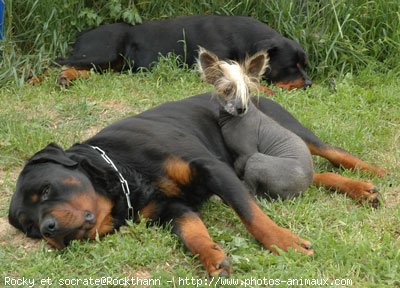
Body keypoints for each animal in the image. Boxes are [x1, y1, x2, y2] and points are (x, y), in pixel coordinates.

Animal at [7, 91, 382, 276]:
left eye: (46, 189)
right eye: (29, 228)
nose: (49, 229)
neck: (122, 171)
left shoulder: (212, 168)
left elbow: (252, 216)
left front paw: (284, 243)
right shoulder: (171, 209)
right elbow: (191, 232)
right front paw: (212, 257)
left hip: (287, 126)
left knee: (330, 151)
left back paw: (372, 175)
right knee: (309, 173)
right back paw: (359, 189)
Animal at [29, 15, 312, 93]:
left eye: (305, 65)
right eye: (291, 66)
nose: (309, 83)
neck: (241, 40)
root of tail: (81, 36)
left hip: (111, 65)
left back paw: (66, 79)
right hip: (102, 52)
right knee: (54, 62)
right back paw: (36, 79)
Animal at [197, 47, 312, 200]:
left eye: (248, 91)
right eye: (227, 90)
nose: (241, 108)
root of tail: (301, 190)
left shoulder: (247, 153)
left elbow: (238, 166)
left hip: (256, 160)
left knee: (250, 190)